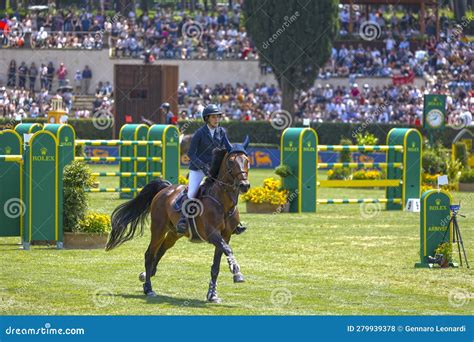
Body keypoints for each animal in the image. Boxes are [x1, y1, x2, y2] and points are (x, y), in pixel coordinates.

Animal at [105, 136, 250, 302]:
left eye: (247, 160)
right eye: (231, 162)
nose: (245, 185)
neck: (223, 203)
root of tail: (165, 189)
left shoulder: (225, 236)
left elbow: (216, 266)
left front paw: (212, 294)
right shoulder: (213, 234)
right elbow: (228, 250)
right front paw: (237, 273)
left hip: (174, 233)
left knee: (161, 251)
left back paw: (146, 275)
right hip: (158, 229)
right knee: (149, 254)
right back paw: (148, 288)